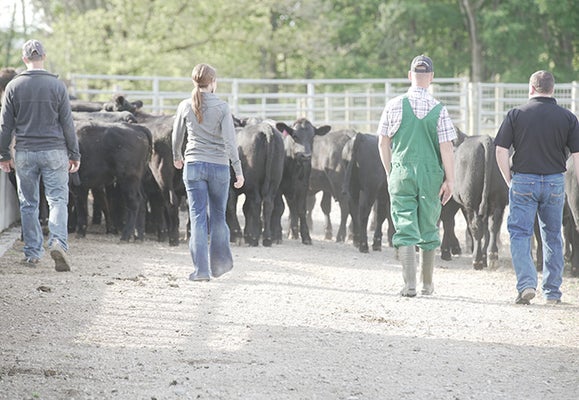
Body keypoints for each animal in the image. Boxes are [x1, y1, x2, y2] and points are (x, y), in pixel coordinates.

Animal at [272, 117, 330, 245]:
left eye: (312, 136)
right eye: (294, 136)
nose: (306, 156)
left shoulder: (303, 187)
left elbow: (301, 210)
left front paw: (306, 236)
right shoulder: (277, 188)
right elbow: (279, 208)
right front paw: (277, 235)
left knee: (293, 209)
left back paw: (293, 232)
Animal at [444, 134, 508, 268]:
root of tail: (485, 138)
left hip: (471, 201)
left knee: (476, 227)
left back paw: (476, 260)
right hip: (498, 199)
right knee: (494, 226)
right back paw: (492, 256)